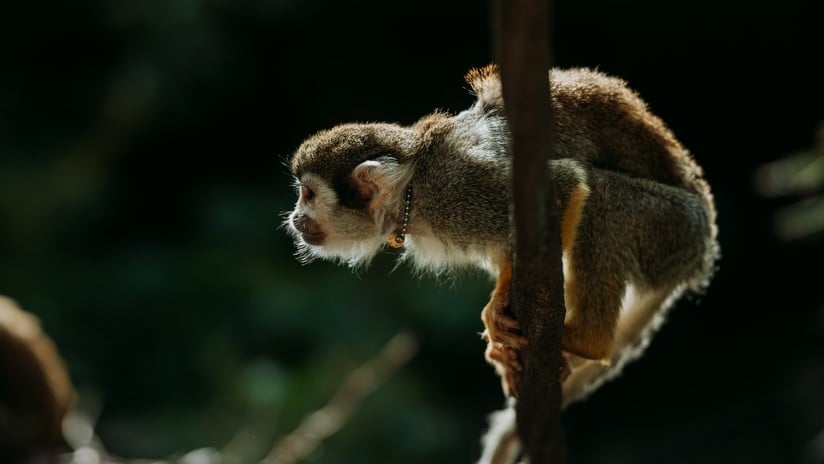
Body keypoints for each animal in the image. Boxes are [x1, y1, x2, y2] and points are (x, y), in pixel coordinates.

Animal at [286, 64, 716, 406]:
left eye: (308, 194)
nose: (294, 218)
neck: (412, 192)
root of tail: (704, 253)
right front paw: (499, 312)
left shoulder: (457, 190)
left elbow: (566, 183)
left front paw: (501, 303)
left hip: (674, 227)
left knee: (603, 200)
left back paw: (584, 341)